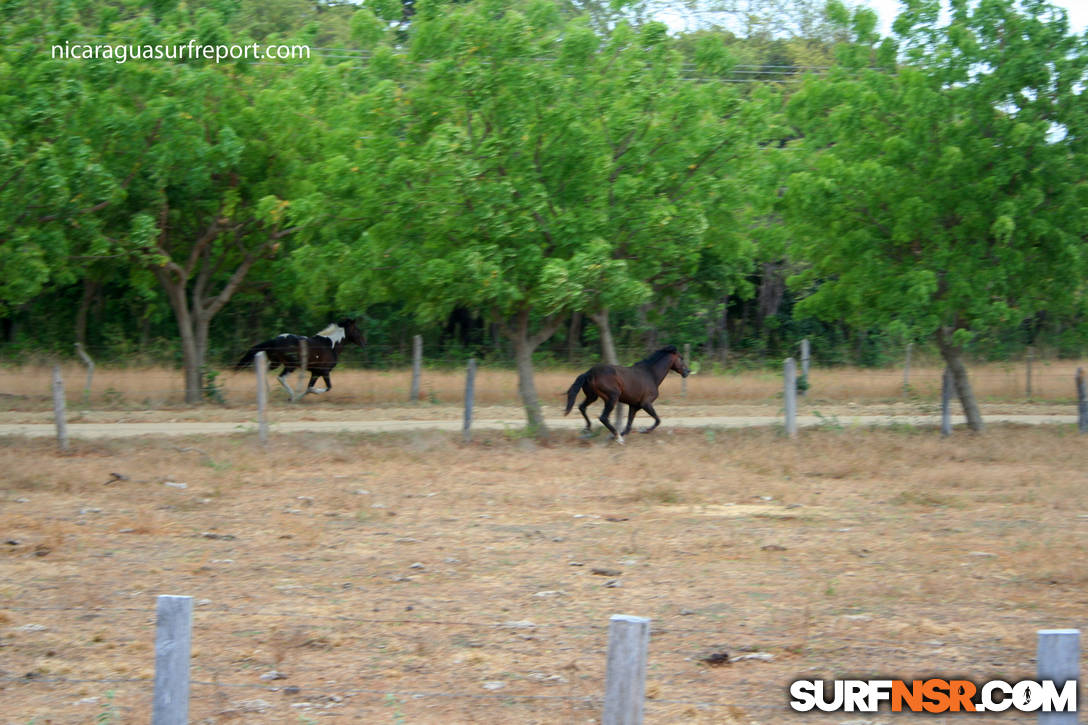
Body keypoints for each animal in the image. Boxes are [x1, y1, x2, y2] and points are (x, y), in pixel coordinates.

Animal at [235, 315, 365, 400]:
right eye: (357, 330)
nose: (364, 342)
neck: (330, 344)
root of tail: (275, 340)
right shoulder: (324, 371)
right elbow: (326, 387)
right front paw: (300, 396)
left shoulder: (315, 372)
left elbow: (309, 387)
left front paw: (301, 396)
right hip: (290, 365)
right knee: (280, 377)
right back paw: (291, 395)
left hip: (275, 363)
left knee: (264, 372)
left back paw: (267, 391)